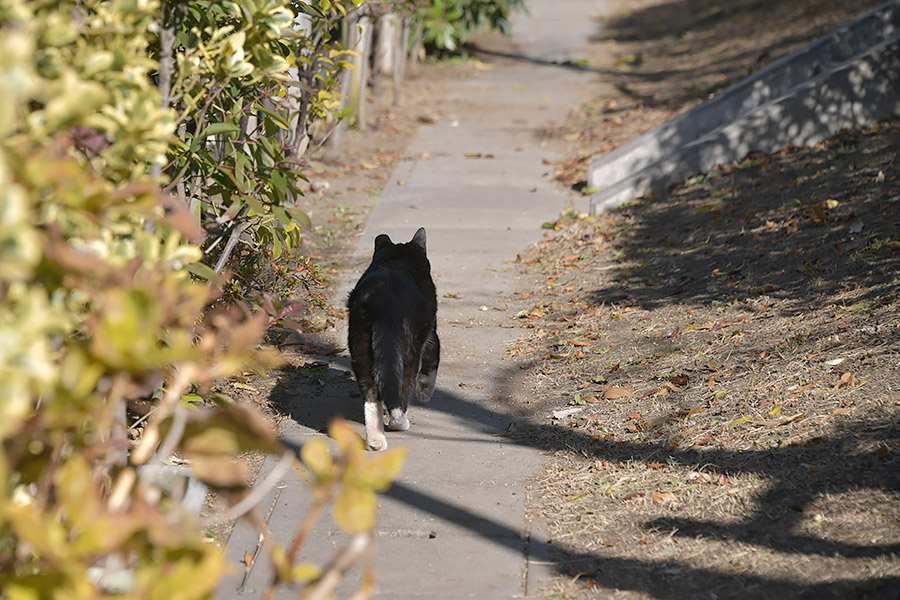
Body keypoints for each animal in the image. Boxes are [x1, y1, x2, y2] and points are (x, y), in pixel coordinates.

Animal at [348, 229, 440, 450]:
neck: (396, 258)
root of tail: (380, 304)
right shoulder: (430, 333)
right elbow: (432, 360)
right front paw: (425, 393)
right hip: (409, 352)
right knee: (401, 391)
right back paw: (400, 423)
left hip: (360, 348)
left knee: (371, 395)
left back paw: (376, 442)